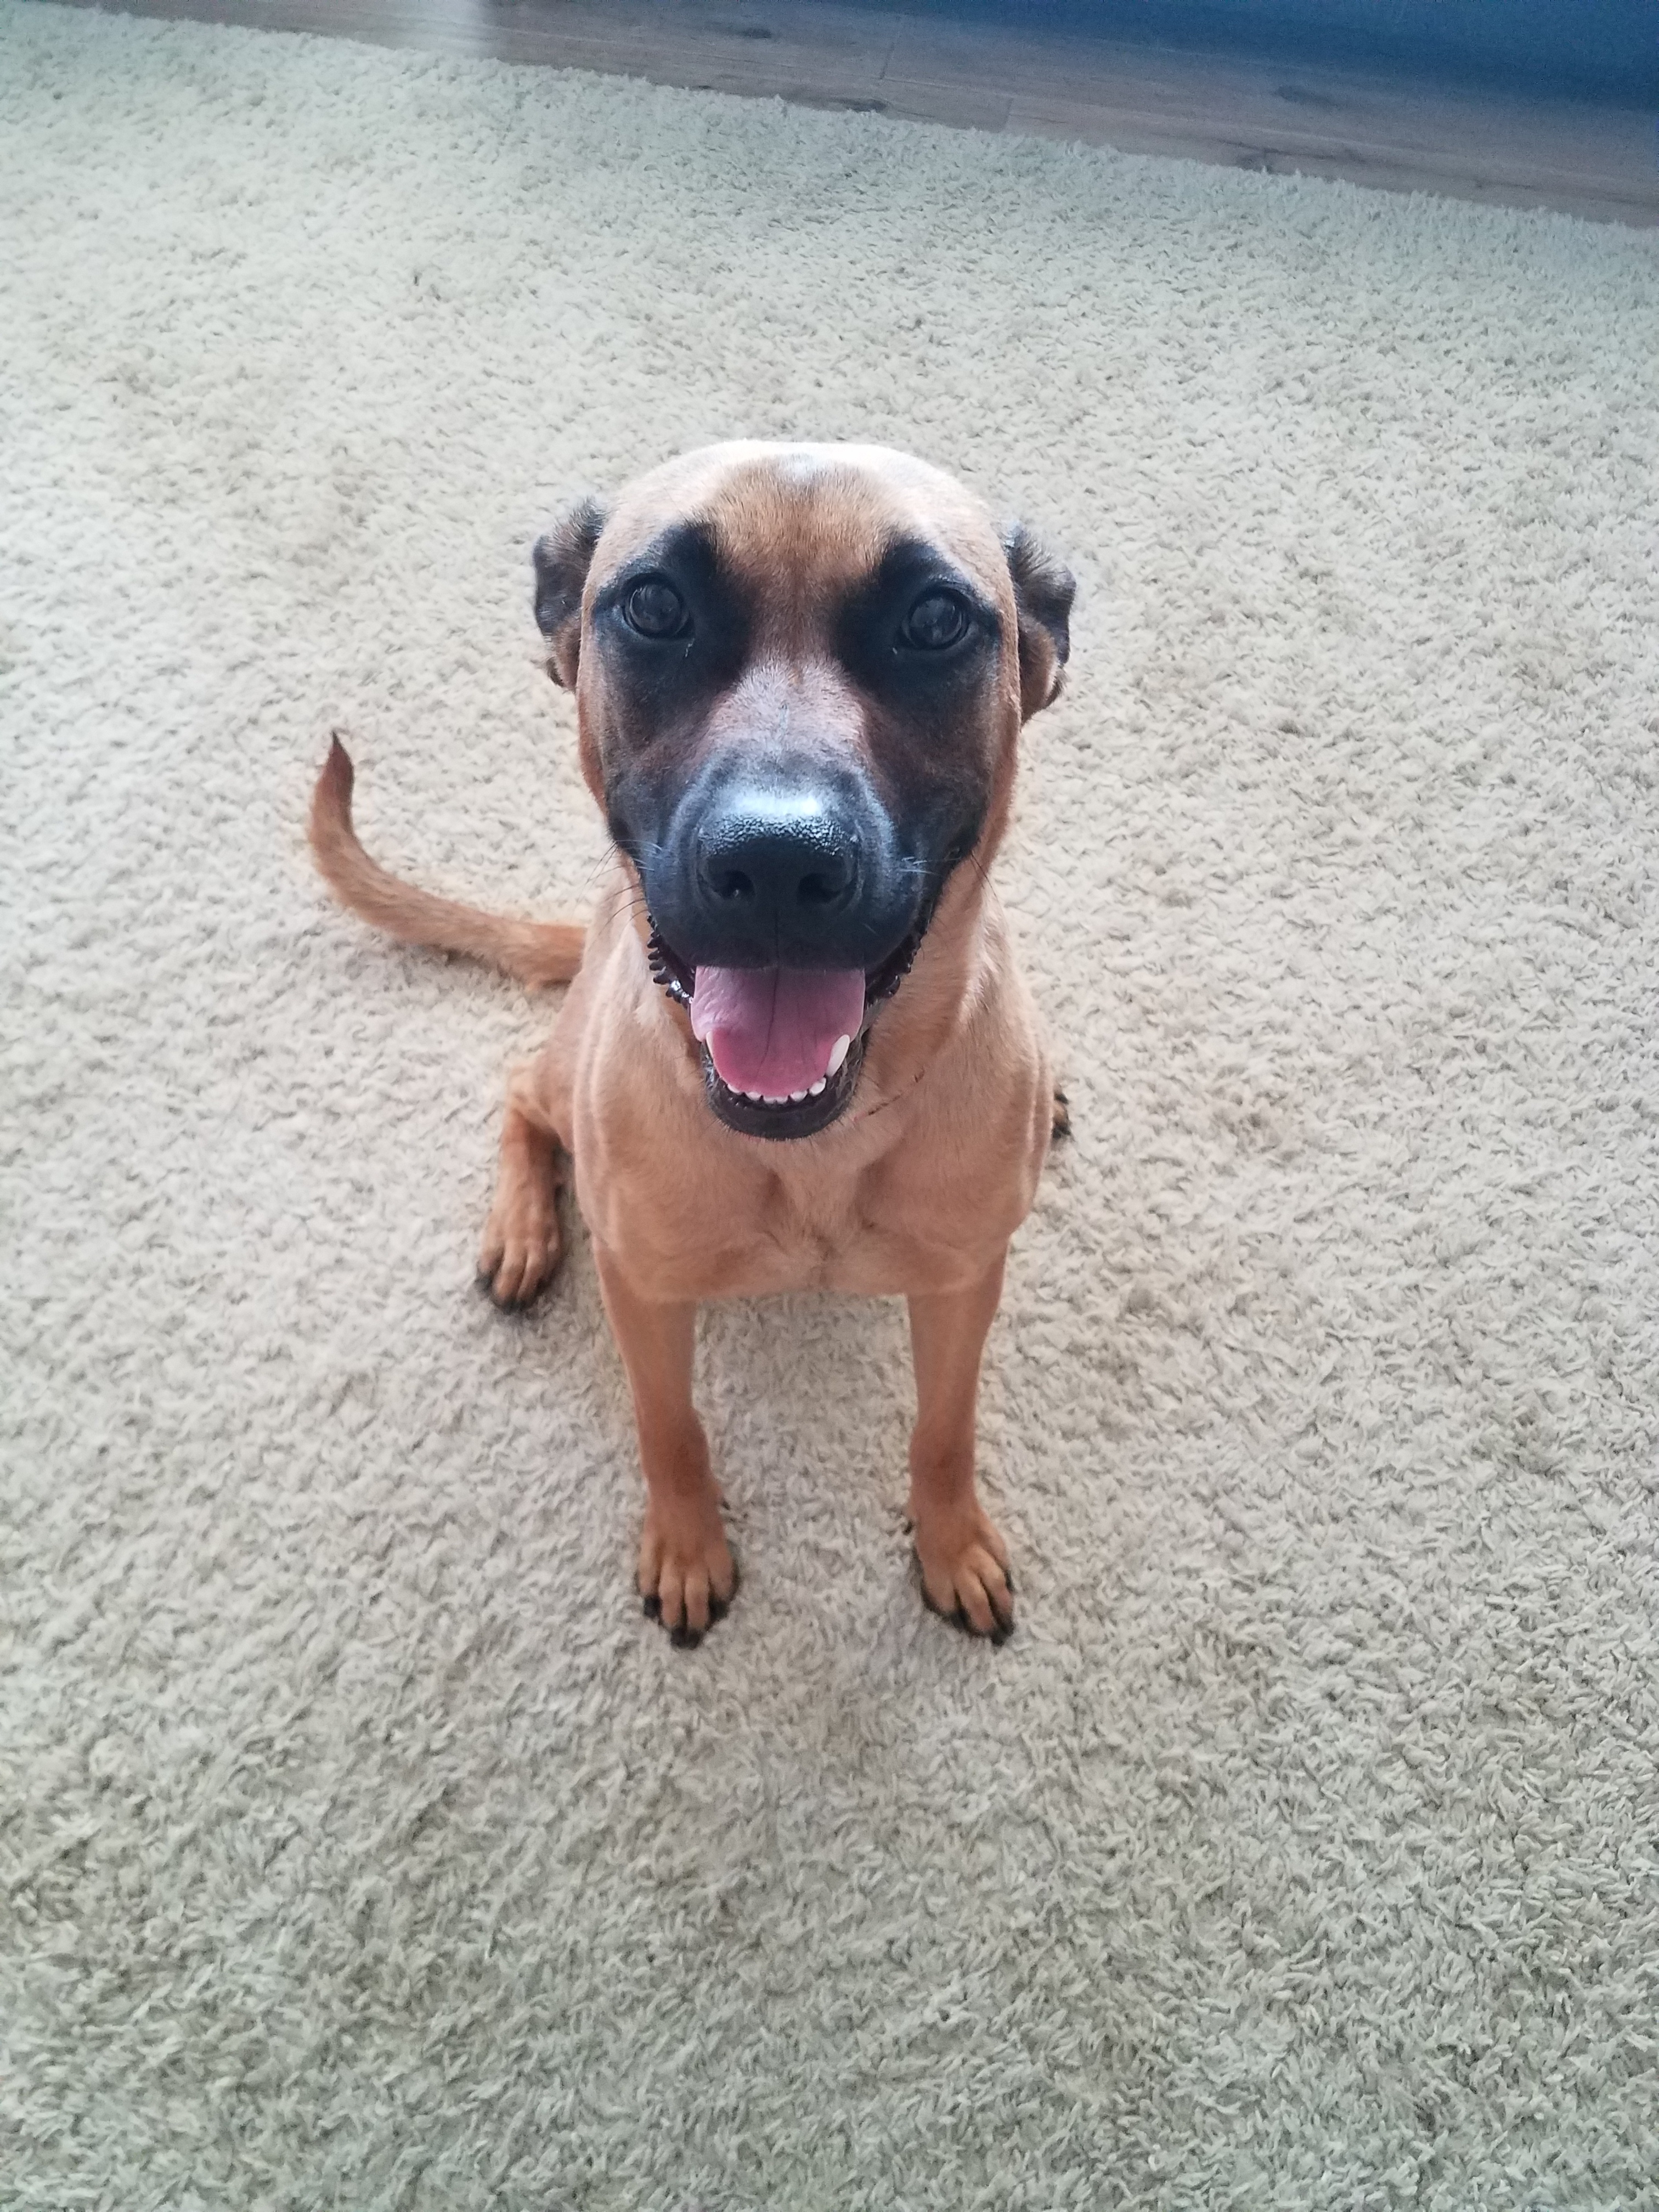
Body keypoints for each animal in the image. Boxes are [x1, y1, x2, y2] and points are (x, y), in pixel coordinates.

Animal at [312, 440, 1079, 1645]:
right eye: (656, 606)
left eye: (934, 621)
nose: (777, 860)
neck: (818, 1138)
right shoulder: (644, 1287)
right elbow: (668, 1429)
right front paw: (686, 1545)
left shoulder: (964, 1283)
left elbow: (943, 1430)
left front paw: (950, 1540)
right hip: (562, 1071)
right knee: (522, 1094)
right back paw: (523, 1230)